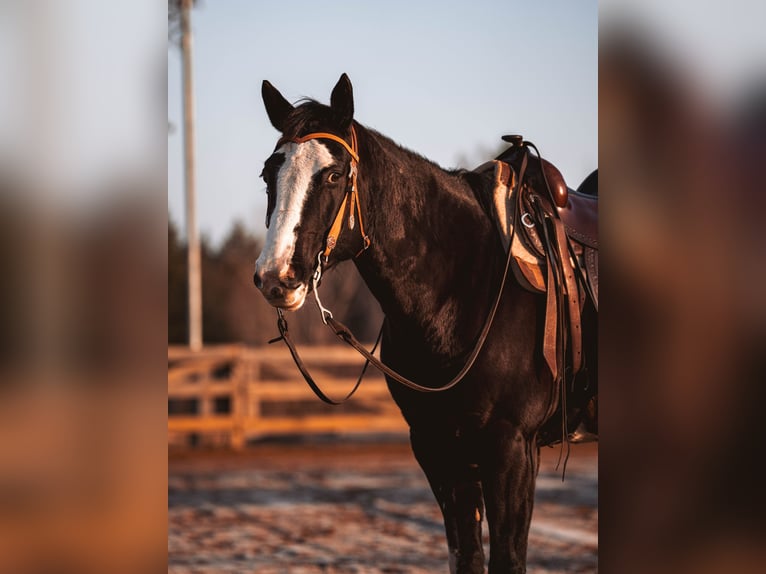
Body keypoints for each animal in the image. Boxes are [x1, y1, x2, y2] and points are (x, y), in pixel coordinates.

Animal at [253, 73, 597, 574]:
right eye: (268, 174)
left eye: (334, 175)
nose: (275, 276)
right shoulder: (439, 449)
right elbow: (466, 556)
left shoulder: (512, 449)